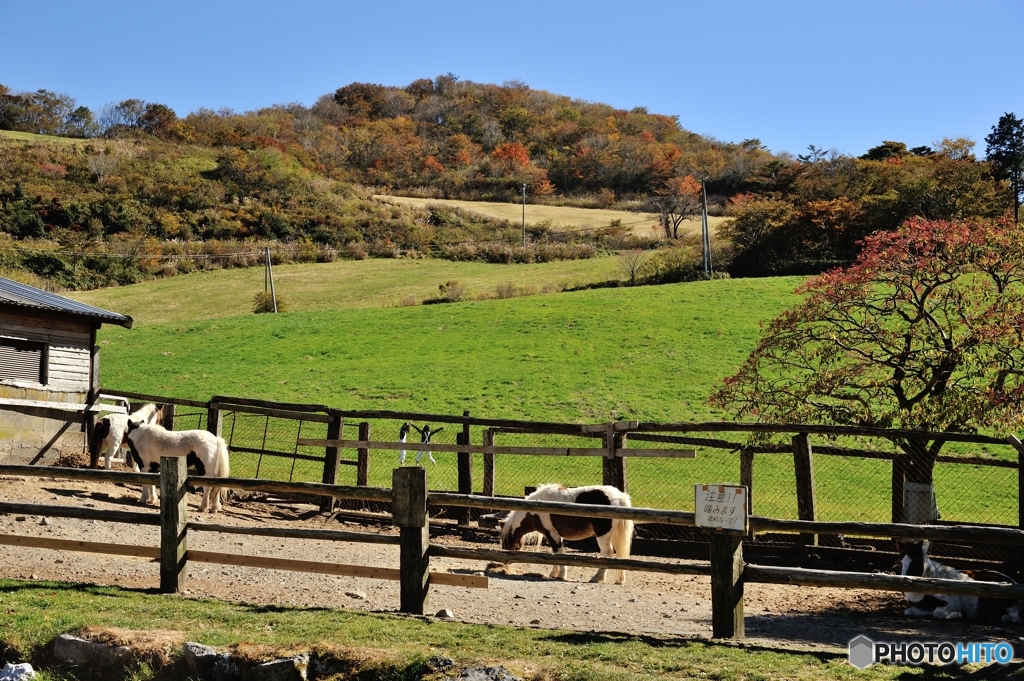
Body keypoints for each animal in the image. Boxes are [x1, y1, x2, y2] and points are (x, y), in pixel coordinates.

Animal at [497, 483, 630, 585]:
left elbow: (558, 552)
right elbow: (555, 553)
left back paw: (597, 578)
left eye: (507, 540)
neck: (536, 510)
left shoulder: (552, 534)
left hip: (603, 536)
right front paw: (554, 573)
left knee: (608, 553)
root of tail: (620, 497)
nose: (504, 563)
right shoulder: (553, 535)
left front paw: (560, 574)